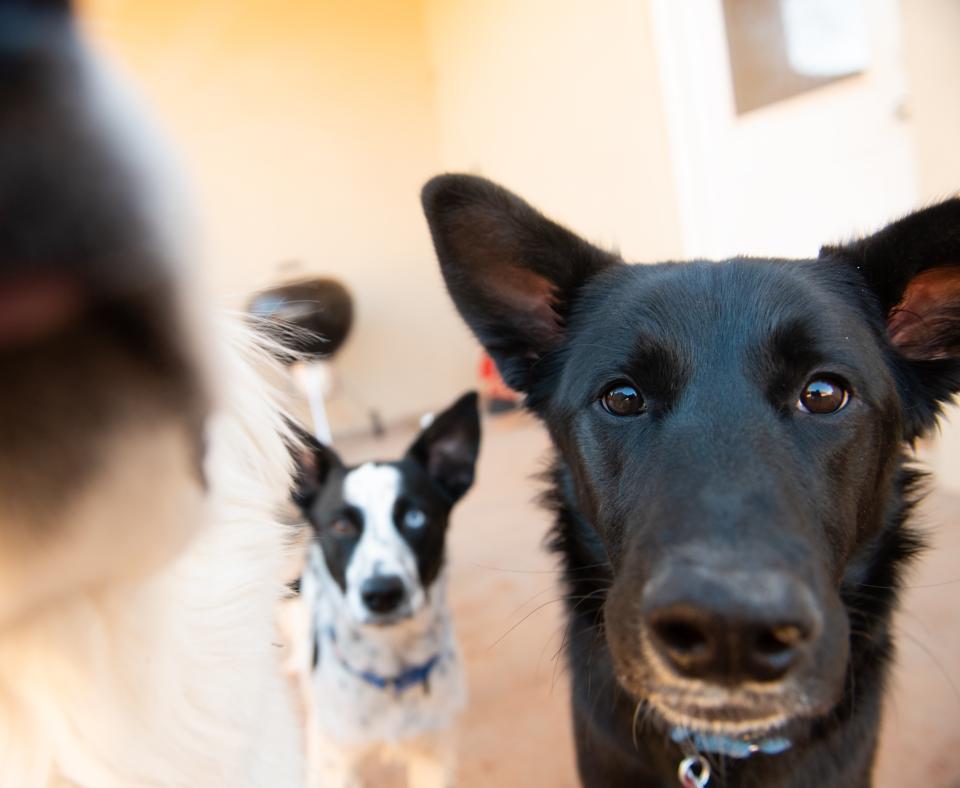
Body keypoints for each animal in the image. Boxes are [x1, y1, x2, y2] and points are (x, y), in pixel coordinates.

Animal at [288, 394, 476, 788]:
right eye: (341, 525)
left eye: (416, 518)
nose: (383, 594)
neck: (391, 670)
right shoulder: (333, 767)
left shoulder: (434, 758)